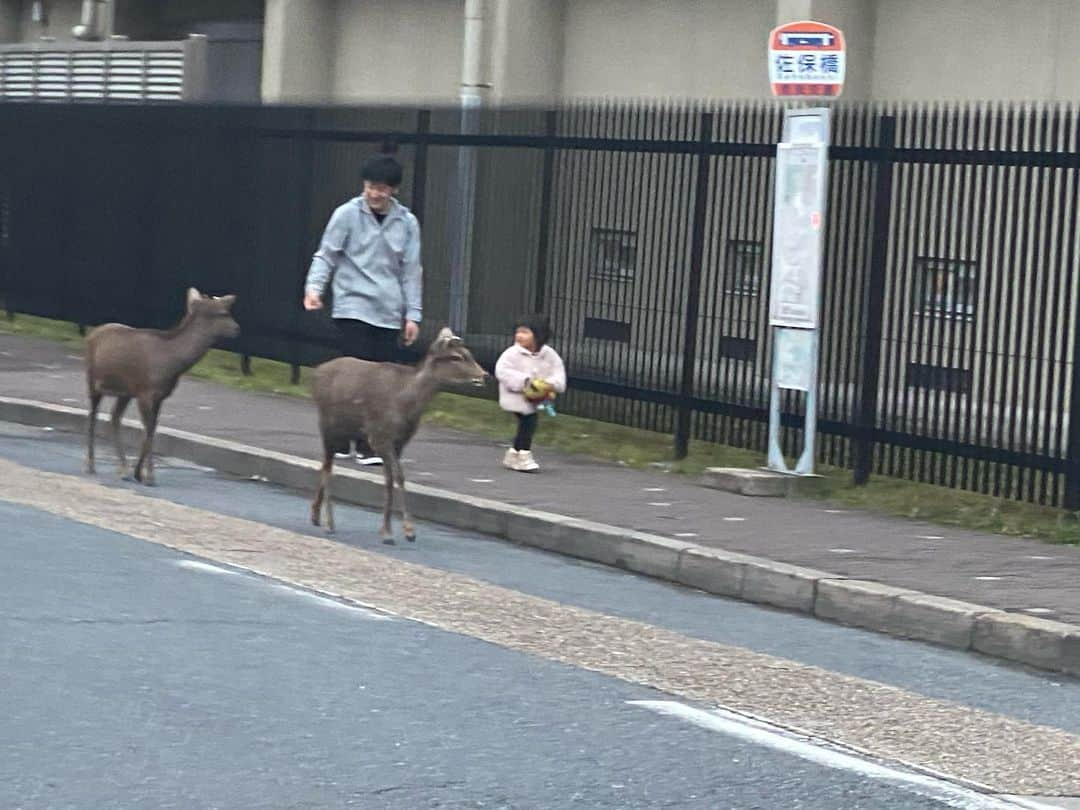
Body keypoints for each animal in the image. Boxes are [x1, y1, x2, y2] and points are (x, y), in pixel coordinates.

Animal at [84, 287, 240, 486]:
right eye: (223, 313)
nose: (237, 329)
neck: (173, 364)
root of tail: (92, 334)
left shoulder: (159, 396)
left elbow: (152, 429)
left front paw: (139, 473)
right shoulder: (145, 392)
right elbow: (149, 430)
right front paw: (149, 476)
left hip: (125, 391)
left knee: (114, 417)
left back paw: (123, 468)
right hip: (92, 380)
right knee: (93, 416)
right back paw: (91, 465)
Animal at [308, 326, 486, 546]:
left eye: (469, 353)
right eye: (456, 356)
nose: (484, 375)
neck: (405, 403)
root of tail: (315, 372)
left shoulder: (400, 441)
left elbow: (396, 478)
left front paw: (405, 531)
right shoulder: (379, 435)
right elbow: (392, 479)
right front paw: (391, 532)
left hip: (343, 430)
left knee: (326, 464)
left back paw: (315, 515)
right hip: (327, 423)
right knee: (327, 468)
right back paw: (329, 523)